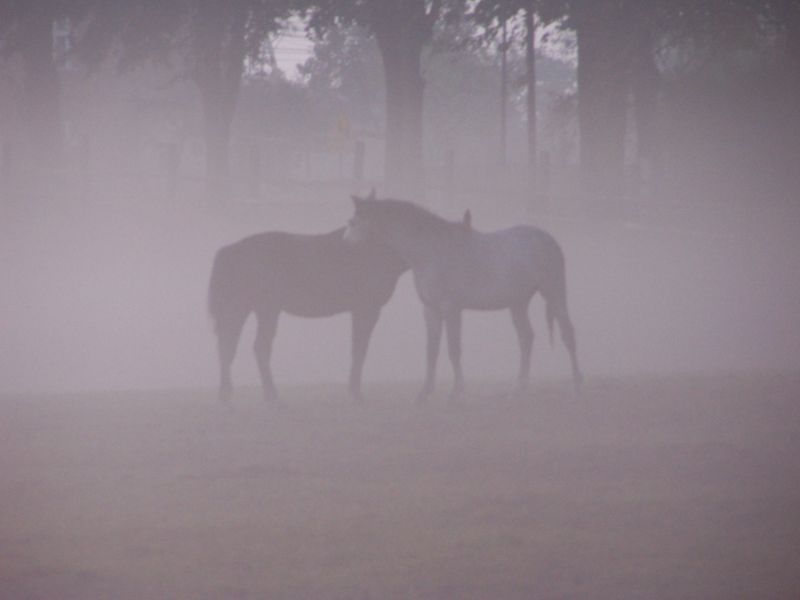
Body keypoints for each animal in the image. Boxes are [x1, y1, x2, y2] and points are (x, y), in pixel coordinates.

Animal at [208, 229, 406, 404]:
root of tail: (232, 250)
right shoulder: (367, 309)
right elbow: (360, 350)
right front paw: (355, 394)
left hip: (248, 309)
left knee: (228, 347)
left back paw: (228, 396)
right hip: (261, 310)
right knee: (253, 348)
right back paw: (271, 398)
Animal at [344, 195, 580, 404]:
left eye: (354, 221)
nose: (345, 245)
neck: (431, 250)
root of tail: (550, 241)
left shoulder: (451, 308)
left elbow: (453, 349)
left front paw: (456, 393)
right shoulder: (431, 310)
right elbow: (431, 351)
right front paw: (423, 394)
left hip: (554, 293)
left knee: (567, 333)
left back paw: (576, 383)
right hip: (518, 304)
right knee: (526, 338)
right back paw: (517, 389)